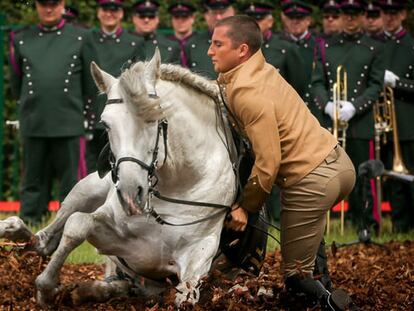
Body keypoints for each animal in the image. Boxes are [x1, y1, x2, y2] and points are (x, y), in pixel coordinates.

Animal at [0, 50, 236, 308]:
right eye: (105, 124)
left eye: (155, 119)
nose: (131, 193)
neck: (178, 185)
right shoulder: (116, 238)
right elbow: (77, 224)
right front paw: (46, 287)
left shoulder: (196, 257)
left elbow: (185, 297)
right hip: (87, 188)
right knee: (46, 239)